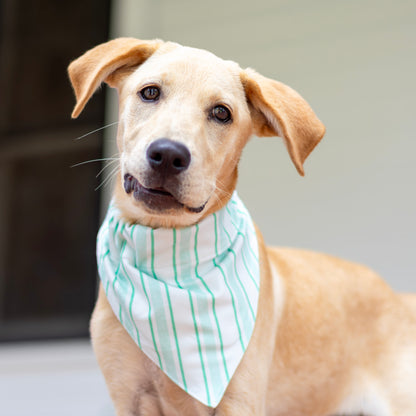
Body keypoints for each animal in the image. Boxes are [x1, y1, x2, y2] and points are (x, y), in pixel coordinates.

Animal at [68, 38, 416, 416]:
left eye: (222, 113)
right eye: (150, 93)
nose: (168, 155)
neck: (167, 253)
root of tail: (398, 297)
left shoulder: (241, 399)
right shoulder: (128, 396)